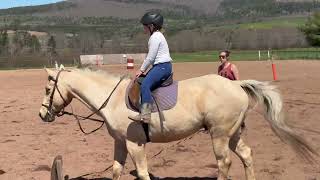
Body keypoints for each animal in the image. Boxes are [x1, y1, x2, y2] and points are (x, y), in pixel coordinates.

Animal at [38, 67, 316, 180]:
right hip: (234, 133)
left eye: (48, 89)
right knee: (246, 156)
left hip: (219, 134)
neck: (113, 98)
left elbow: (142, 172)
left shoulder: (135, 144)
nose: (42, 115)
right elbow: (116, 170)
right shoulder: (120, 142)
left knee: (223, 163)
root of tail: (236, 84)